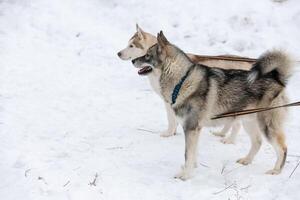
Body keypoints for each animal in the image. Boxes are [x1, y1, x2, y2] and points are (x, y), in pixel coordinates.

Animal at [116, 24, 253, 144]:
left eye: (131, 46)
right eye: (128, 44)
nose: (118, 53)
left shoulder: (170, 101)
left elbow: (171, 119)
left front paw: (169, 133)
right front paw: (174, 132)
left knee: (237, 124)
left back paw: (229, 140)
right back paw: (221, 133)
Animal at [133, 30, 290, 180]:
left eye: (147, 55)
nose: (133, 60)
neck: (182, 80)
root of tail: (277, 79)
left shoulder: (191, 128)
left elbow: (187, 154)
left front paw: (185, 176)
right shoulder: (195, 130)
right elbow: (193, 154)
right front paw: (190, 169)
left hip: (266, 126)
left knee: (282, 148)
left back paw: (276, 170)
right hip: (249, 122)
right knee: (257, 142)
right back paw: (246, 160)